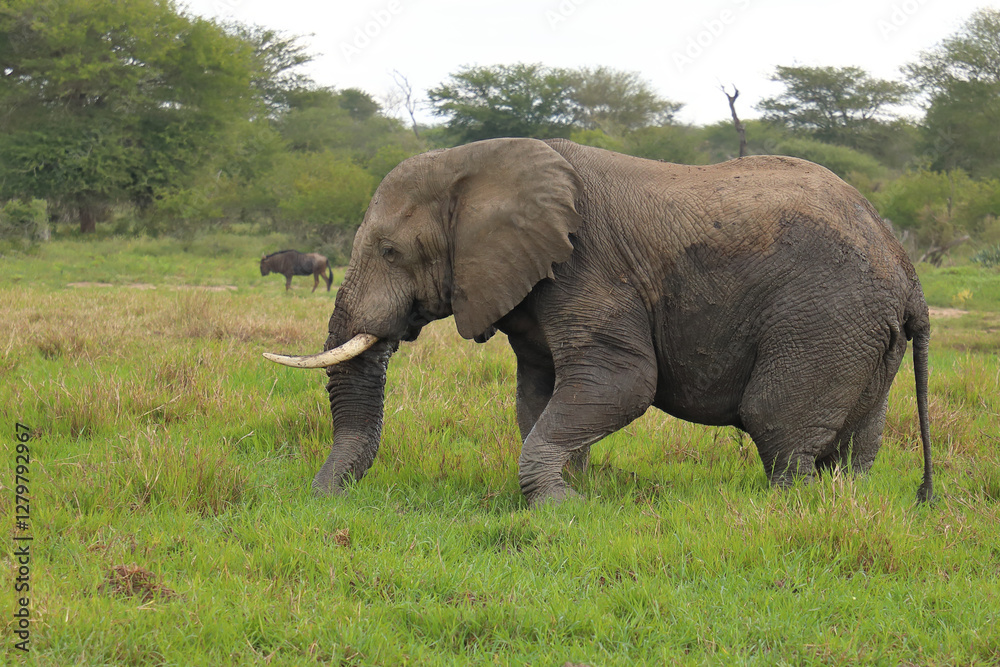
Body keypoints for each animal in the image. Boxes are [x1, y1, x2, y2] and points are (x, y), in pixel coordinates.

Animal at [265, 138, 933, 506]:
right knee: (856, 443)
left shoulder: (586, 264)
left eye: (390, 252)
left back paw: (789, 511)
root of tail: (908, 272)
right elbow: (539, 396)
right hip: (865, 335)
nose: (320, 501)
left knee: (778, 424)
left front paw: (558, 508)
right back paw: (845, 503)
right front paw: (575, 495)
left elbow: (622, 383)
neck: (481, 164)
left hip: (825, 317)